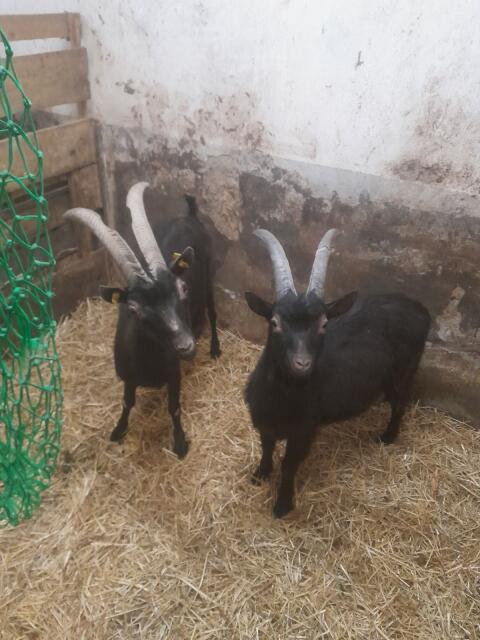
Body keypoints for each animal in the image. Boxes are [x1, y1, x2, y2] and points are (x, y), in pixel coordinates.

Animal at [64, 183, 220, 458]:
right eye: (134, 309)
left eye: (182, 289)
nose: (186, 346)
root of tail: (188, 214)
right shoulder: (128, 375)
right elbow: (127, 402)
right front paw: (118, 430)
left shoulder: (173, 374)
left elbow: (174, 407)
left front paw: (180, 444)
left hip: (208, 275)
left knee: (212, 311)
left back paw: (213, 347)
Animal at [245, 229, 430, 517]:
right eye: (274, 322)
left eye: (323, 324)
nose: (302, 364)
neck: (282, 400)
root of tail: (420, 310)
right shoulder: (264, 422)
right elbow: (266, 448)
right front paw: (259, 475)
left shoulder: (304, 431)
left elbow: (289, 465)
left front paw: (282, 505)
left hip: (403, 372)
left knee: (400, 403)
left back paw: (387, 437)